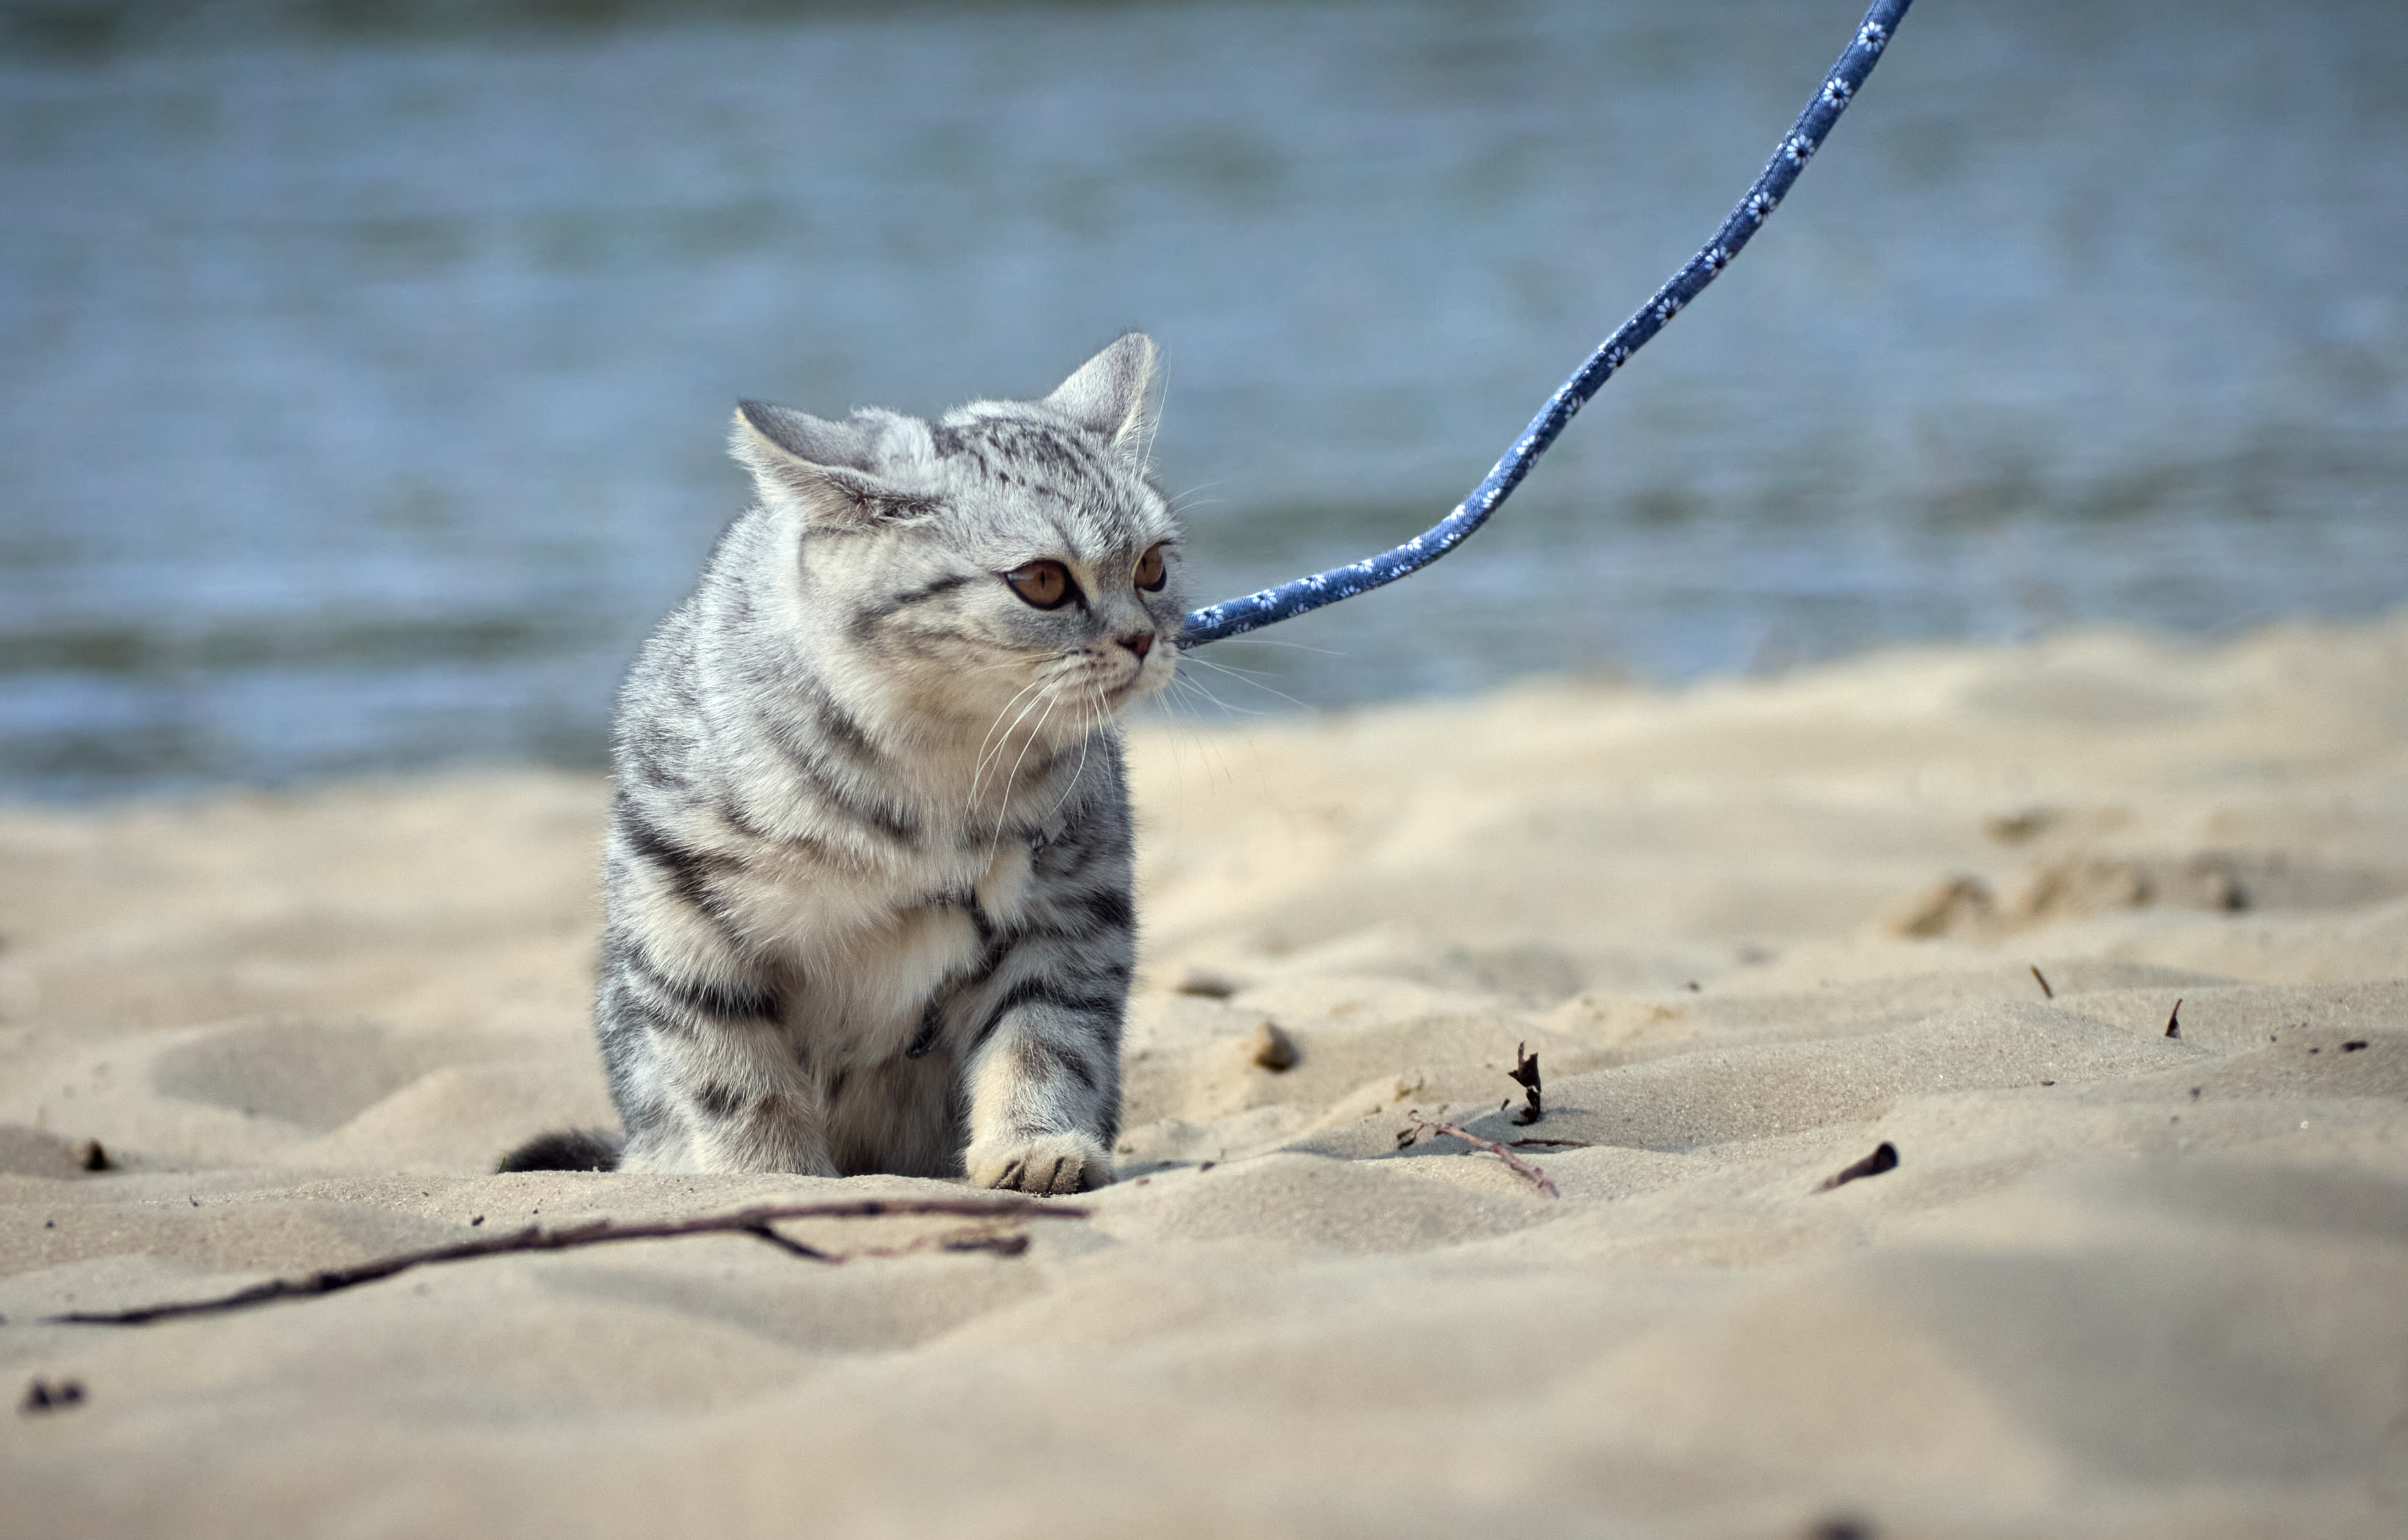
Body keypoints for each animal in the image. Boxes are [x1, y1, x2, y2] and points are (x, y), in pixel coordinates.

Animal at [503, 337, 1180, 1200]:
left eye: (1154, 568)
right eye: (1043, 581)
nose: (1144, 638)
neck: (937, 761)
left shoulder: (1070, 909)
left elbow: (1043, 1040)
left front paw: (1034, 1144)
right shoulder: (678, 899)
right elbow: (736, 1071)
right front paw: (769, 1175)